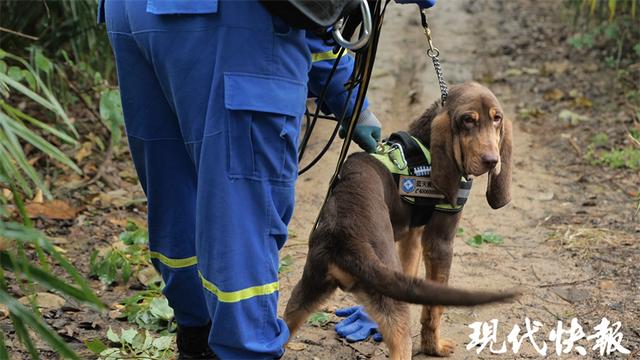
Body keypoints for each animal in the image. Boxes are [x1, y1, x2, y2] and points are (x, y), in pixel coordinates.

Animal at [284, 83, 516, 358]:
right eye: (468, 120)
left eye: (497, 118)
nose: (492, 161)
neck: (425, 146)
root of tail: (343, 242)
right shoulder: (440, 242)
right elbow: (434, 310)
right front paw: (434, 347)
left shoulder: (412, 237)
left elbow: (410, 275)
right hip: (394, 317)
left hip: (304, 293)